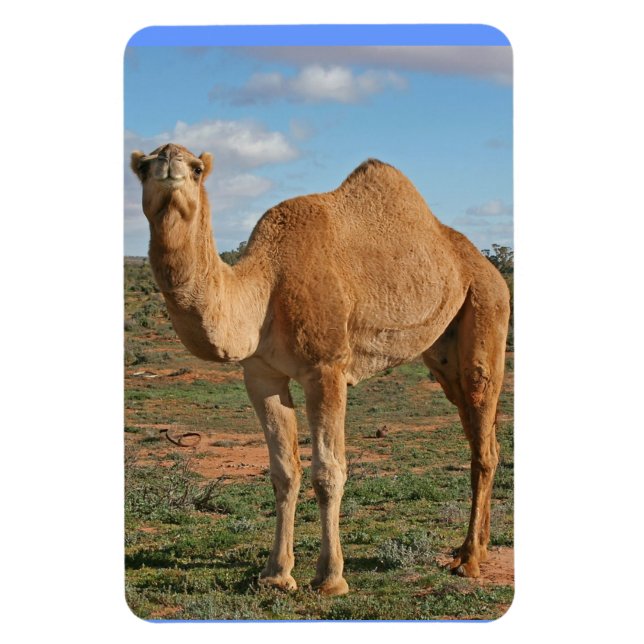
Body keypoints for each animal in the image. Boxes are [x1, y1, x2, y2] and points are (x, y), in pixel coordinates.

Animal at [130, 143, 511, 596]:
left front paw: (330, 578)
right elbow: (283, 471)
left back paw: (469, 560)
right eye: (143, 167)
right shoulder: (261, 375)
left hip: (487, 307)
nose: (170, 162)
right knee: (479, 433)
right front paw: (276, 574)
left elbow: (328, 472)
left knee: (483, 432)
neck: (266, 286)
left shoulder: (326, 369)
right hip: (443, 351)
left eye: (197, 168)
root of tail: (485, 266)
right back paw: (475, 548)